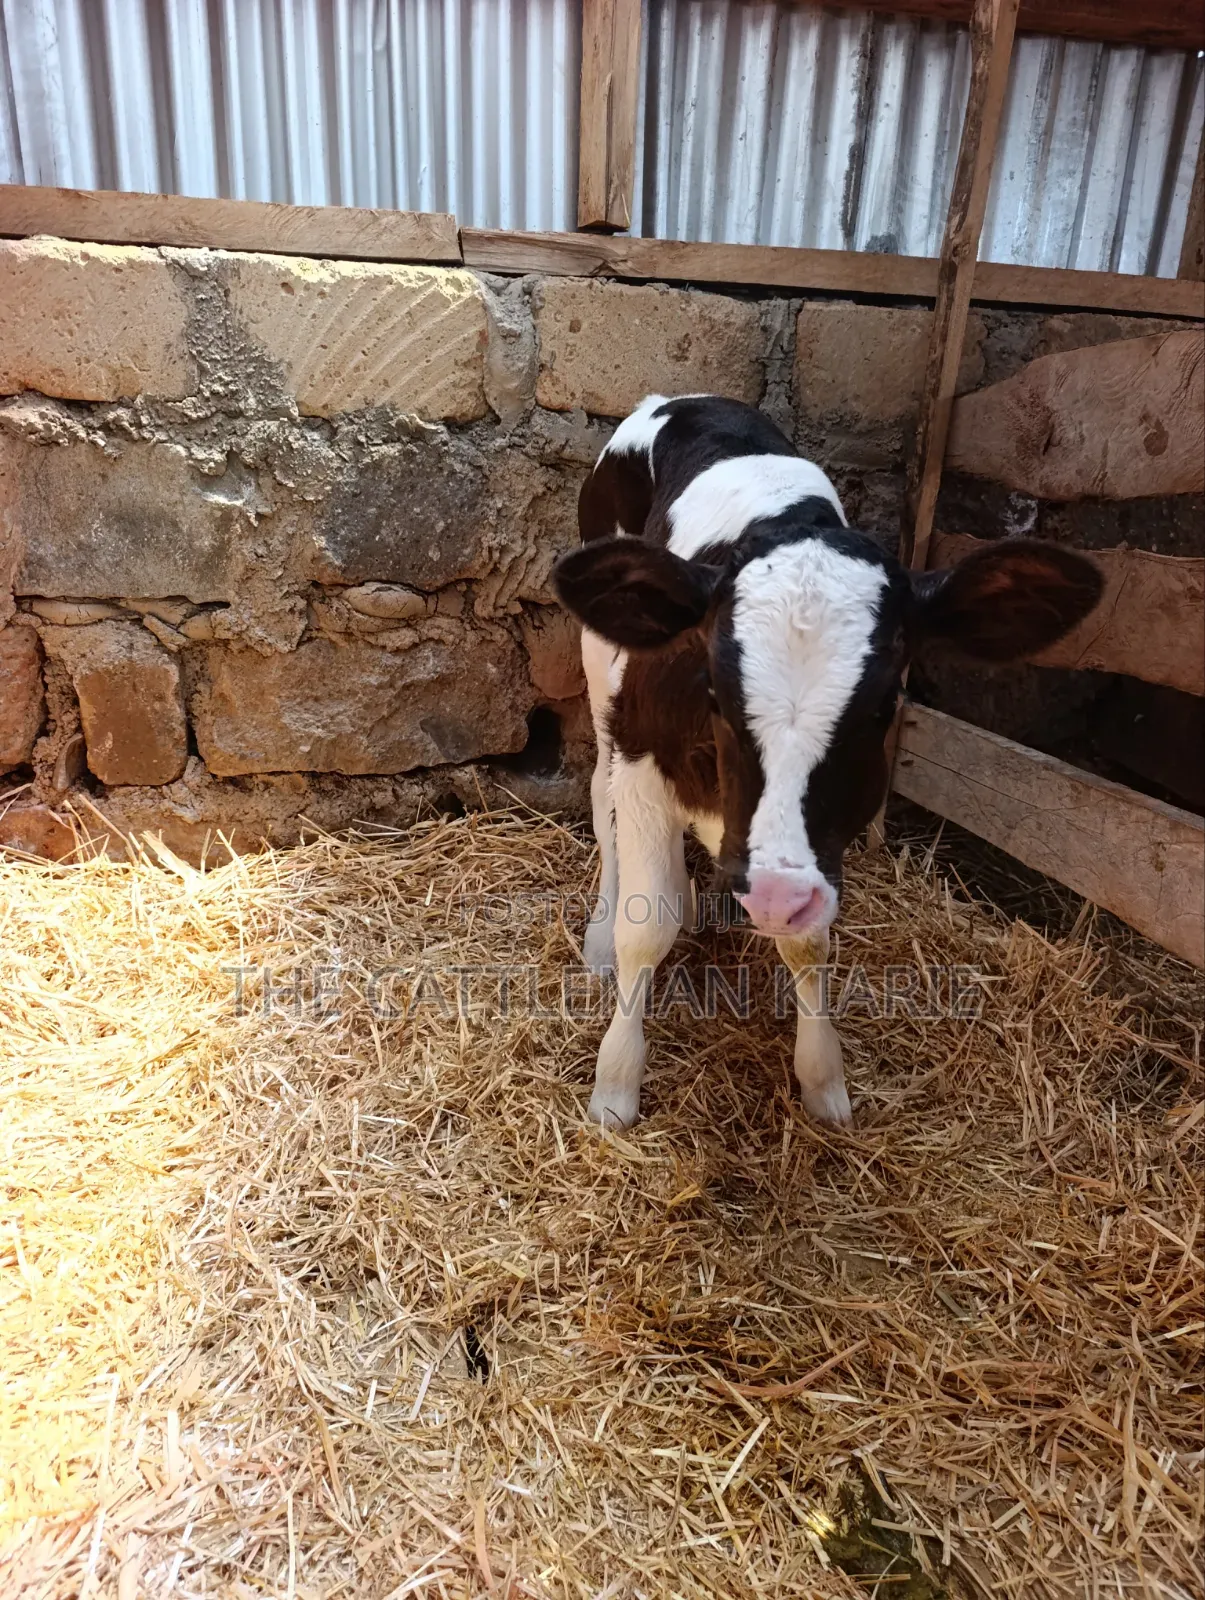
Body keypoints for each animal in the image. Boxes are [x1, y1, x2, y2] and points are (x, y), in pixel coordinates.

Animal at [552, 394, 1103, 1130]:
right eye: (713, 691)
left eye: (883, 705)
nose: (771, 895)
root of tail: (677, 400)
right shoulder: (643, 755)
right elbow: (648, 923)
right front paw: (615, 1085)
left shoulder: (818, 853)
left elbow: (809, 943)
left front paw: (821, 1077)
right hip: (599, 664)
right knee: (599, 796)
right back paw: (599, 934)